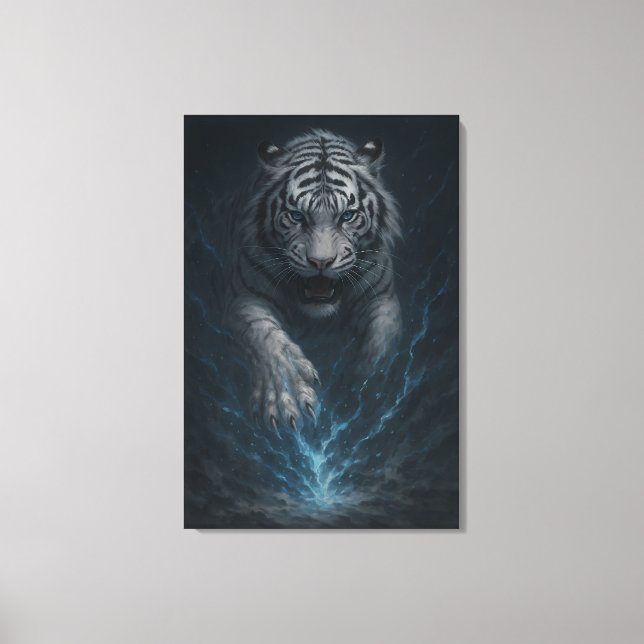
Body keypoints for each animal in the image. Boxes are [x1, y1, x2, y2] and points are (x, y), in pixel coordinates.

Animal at [222, 129, 402, 432]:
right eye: (297, 216)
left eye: (347, 215)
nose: (321, 262)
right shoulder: (244, 297)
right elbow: (264, 338)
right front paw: (285, 395)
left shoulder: (382, 297)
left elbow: (382, 340)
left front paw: (366, 385)